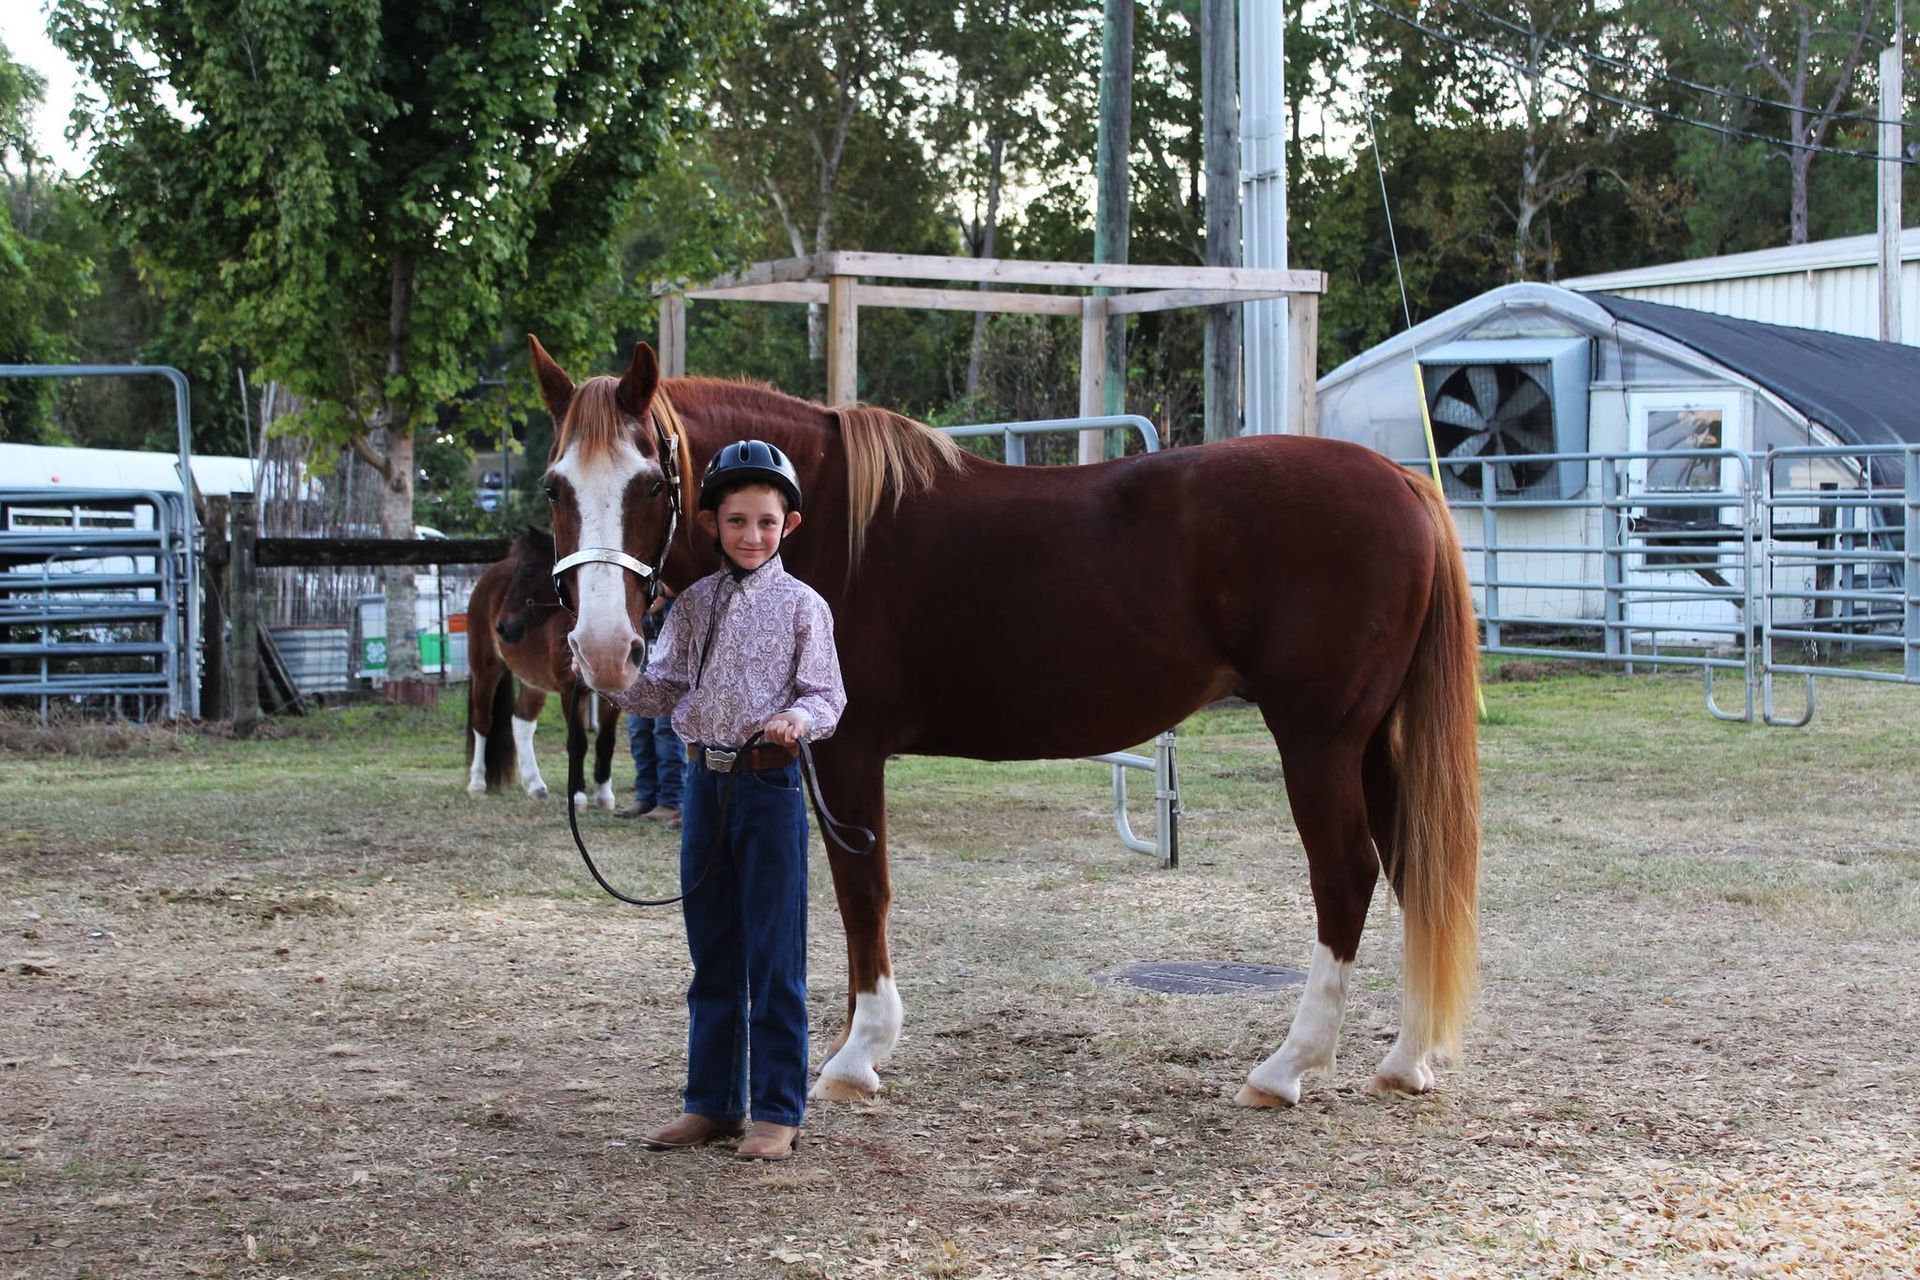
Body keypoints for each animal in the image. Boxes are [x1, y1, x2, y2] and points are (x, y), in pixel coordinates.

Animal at [464, 525, 623, 810]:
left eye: (528, 571)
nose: (502, 626)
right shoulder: (570, 690)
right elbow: (578, 742)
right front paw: (578, 796)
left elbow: (606, 741)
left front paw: (604, 795)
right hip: (485, 669)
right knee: (482, 722)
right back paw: (477, 783)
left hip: (533, 681)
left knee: (521, 721)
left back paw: (535, 784)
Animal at [528, 336, 1481, 1109]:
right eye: (555, 489)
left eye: (650, 483)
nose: (603, 650)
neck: (817, 514)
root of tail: (1401, 481)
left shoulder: (846, 751)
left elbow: (861, 889)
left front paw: (858, 1055)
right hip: (1371, 742)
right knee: (1411, 865)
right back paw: (1405, 1061)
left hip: (1319, 740)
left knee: (1346, 875)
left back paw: (1287, 1068)